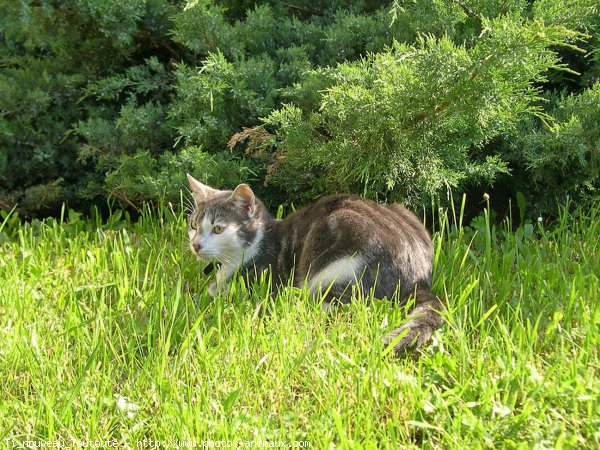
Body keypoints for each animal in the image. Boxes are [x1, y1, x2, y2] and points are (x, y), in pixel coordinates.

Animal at [185, 174, 442, 356]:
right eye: (194, 224)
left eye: (218, 228)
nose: (196, 245)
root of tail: (419, 278)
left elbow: (216, 294)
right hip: (405, 211)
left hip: (335, 267)